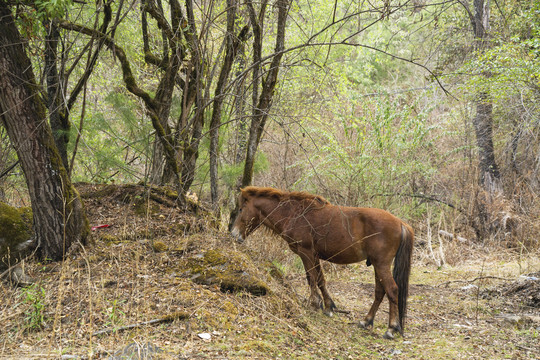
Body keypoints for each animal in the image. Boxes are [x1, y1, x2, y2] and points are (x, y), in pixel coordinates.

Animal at [230, 187, 416, 338]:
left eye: (241, 209)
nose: (234, 234)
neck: (294, 214)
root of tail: (401, 223)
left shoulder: (305, 253)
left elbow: (311, 278)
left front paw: (314, 303)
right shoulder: (314, 255)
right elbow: (320, 280)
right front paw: (328, 306)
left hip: (381, 264)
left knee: (392, 290)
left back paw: (391, 328)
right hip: (377, 265)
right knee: (380, 292)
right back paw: (366, 321)